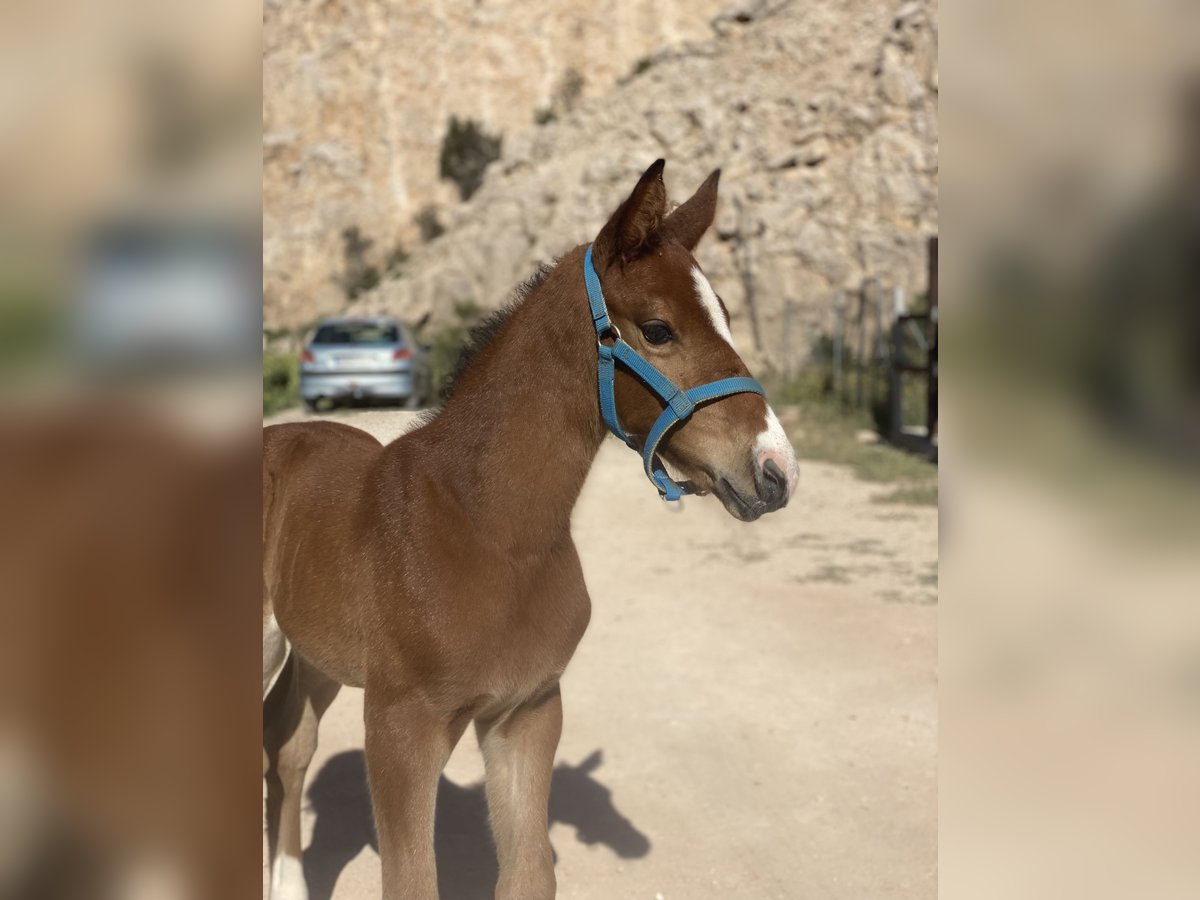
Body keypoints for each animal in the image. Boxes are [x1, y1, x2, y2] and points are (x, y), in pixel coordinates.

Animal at [267, 162, 801, 900]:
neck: (489, 530)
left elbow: (528, 873)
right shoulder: (399, 727)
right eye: (658, 329)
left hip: (318, 653)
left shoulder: (528, 711)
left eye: (725, 312)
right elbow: (411, 879)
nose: (776, 470)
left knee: (291, 745)